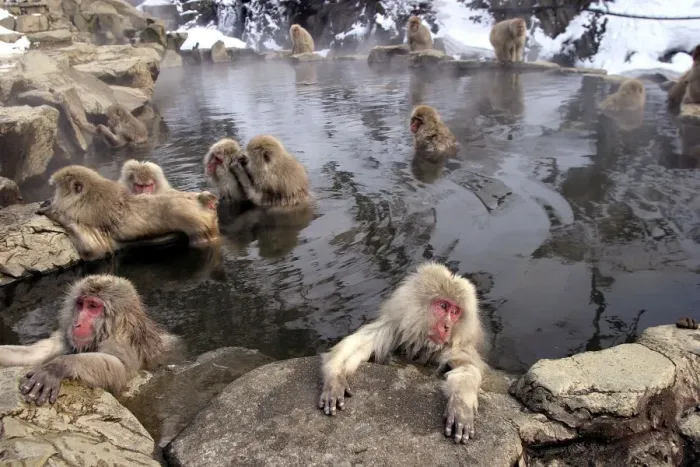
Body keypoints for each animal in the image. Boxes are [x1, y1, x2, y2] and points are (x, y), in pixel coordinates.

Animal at [0, 274, 178, 405]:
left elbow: (120, 370)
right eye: (80, 304)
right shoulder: (67, 337)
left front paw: (58, 366)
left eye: (93, 306)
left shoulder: (123, 340)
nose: (77, 323)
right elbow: (36, 352)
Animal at [37, 165, 219, 261]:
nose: (52, 196)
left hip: (197, 224)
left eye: (57, 188)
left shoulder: (86, 214)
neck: (87, 196)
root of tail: (203, 200)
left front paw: (53, 212)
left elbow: (94, 250)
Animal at [319, 262, 485, 444]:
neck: (423, 342)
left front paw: (461, 406)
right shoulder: (394, 326)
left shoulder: (457, 346)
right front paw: (334, 380)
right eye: (443, 306)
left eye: (455, 312)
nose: (447, 327)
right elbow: (354, 346)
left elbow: (467, 368)